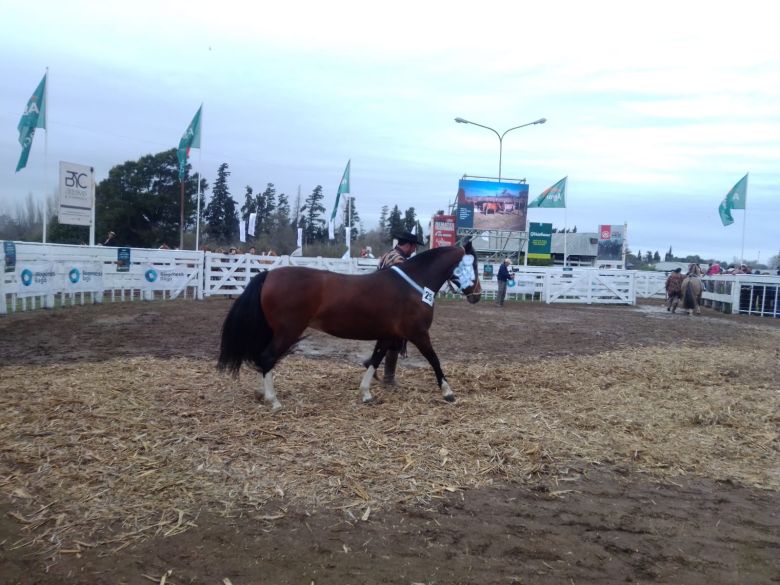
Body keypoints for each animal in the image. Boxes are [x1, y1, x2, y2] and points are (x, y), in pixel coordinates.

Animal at [215, 240, 482, 408]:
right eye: (475, 264)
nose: (477, 295)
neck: (413, 284)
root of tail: (268, 274)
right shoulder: (418, 333)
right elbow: (434, 359)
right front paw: (448, 392)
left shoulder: (388, 335)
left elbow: (375, 359)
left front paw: (366, 394)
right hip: (287, 332)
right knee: (267, 357)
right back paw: (273, 401)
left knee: (261, 359)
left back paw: (262, 393)